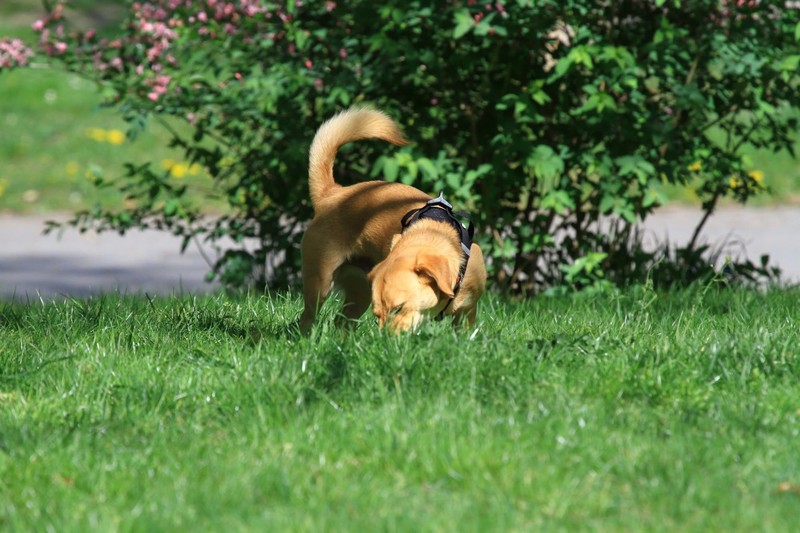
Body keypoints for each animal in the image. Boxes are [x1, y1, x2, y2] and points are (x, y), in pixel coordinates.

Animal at [300, 106, 488, 330]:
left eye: (399, 308)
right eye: (377, 314)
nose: (383, 337)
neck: (434, 232)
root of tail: (332, 193)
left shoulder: (468, 312)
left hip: (360, 292)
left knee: (341, 322)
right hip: (321, 282)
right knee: (307, 318)